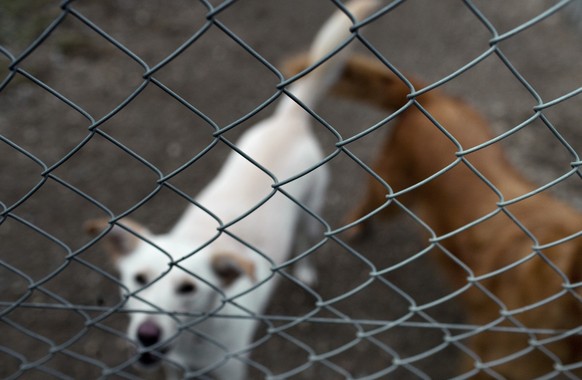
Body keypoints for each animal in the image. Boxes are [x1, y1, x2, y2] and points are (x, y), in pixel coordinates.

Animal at [85, 1, 378, 378]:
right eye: (139, 278)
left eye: (188, 288)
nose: (147, 335)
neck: (196, 336)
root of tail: (289, 121)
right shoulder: (175, 365)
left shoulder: (232, 367)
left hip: (311, 213)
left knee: (306, 242)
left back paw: (305, 271)